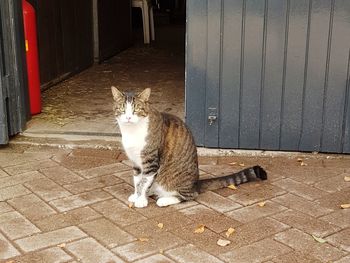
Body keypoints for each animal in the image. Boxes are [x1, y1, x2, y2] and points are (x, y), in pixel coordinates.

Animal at [110, 86, 266, 208]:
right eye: (123, 110)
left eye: (136, 109)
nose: (128, 117)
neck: (131, 132)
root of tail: (196, 183)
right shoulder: (136, 162)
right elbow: (137, 180)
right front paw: (136, 195)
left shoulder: (151, 162)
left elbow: (145, 181)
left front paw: (141, 200)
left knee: (189, 196)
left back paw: (164, 200)